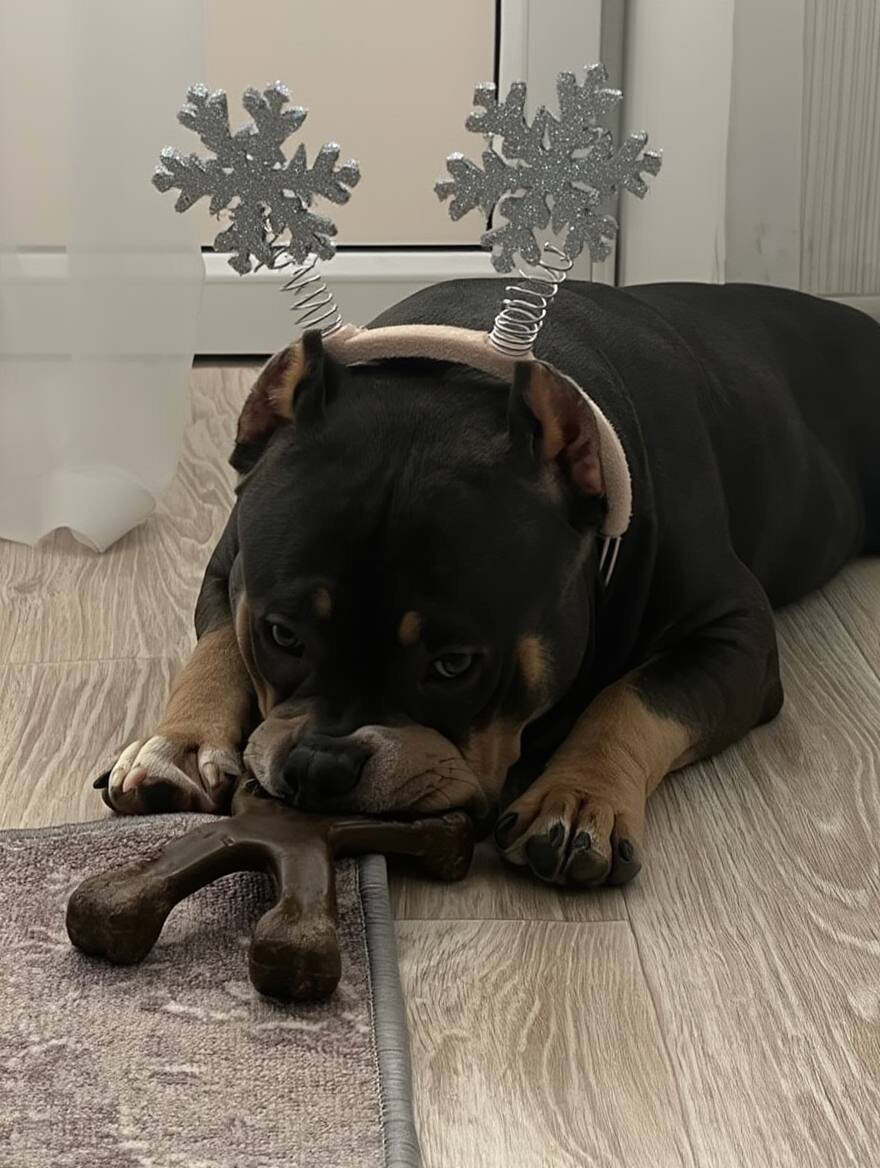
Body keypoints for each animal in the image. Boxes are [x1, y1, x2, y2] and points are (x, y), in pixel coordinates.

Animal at [97, 278, 880, 887]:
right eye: (283, 635)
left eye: (454, 666)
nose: (322, 765)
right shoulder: (228, 571)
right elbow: (217, 647)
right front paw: (179, 743)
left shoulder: (731, 633)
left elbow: (633, 700)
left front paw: (576, 800)